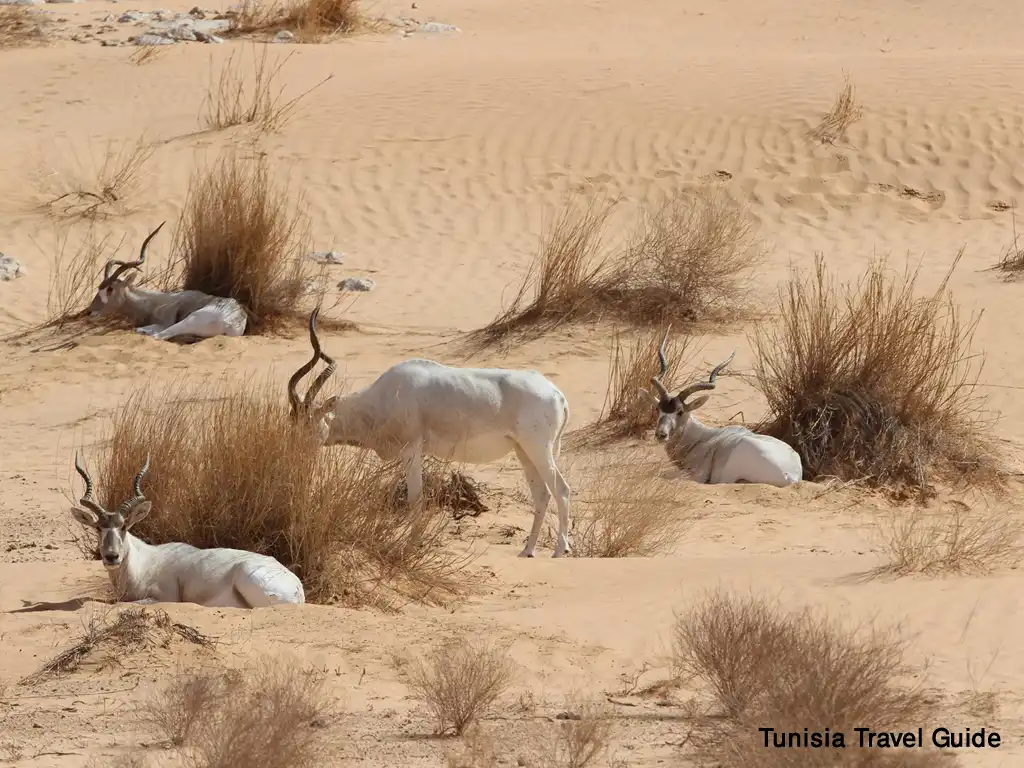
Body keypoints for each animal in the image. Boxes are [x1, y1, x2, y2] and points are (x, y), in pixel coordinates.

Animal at [68, 454, 303, 610]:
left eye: (125, 526)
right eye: (98, 527)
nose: (111, 556)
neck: (143, 562)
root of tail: (297, 588)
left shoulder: (165, 597)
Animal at [87, 222, 248, 342]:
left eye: (110, 289)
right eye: (99, 288)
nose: (90, 312)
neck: (155, 301)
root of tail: (232, 321)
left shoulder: (166, 322)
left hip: (188, 320)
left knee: (158, 336)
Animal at [290, 309, 577, 561]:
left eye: (309, 423)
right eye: (293, 422)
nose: (298, 459)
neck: (387, 394)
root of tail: (557, 394)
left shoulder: (412, 450)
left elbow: (416, 498)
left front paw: (408, 547)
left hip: (538, 449)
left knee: (561, 489)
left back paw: (560, 550)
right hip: (524, 451)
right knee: (542, 494)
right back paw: (527, 551)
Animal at [638, 331, 798, 487]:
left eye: (680, 411)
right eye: (658, 409)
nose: (661, 434)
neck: (702, 437)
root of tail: (790, 476)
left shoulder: (698, 476)